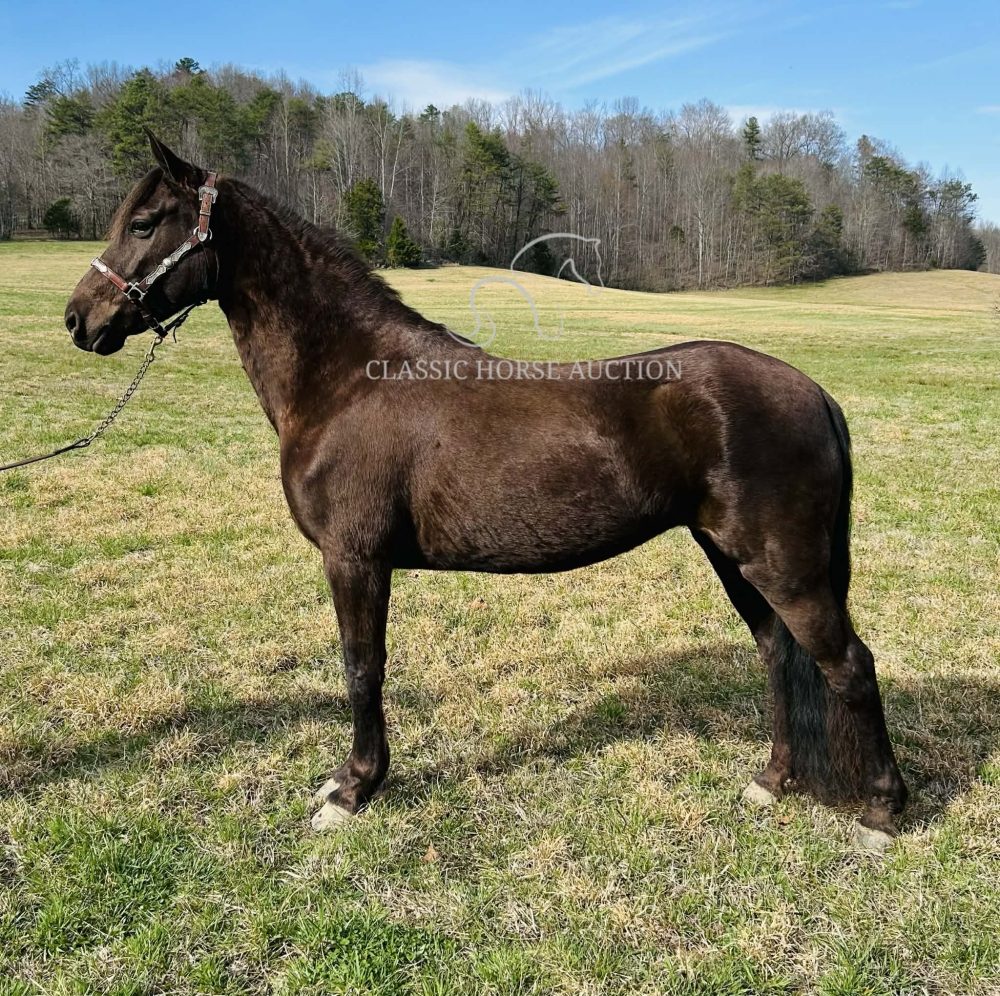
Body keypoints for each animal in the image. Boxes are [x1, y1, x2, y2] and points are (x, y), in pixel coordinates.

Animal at [64, 134, 907, 849]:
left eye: (144, 223)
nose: (79, 320)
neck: (349, 380)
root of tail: (813, 393)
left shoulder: (354, 559)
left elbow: (361, 667)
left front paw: (353, 790)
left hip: (782, 566)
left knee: (848, 665)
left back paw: (881, 813)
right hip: (734, 560)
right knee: (779, 656)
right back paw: (772, 782)